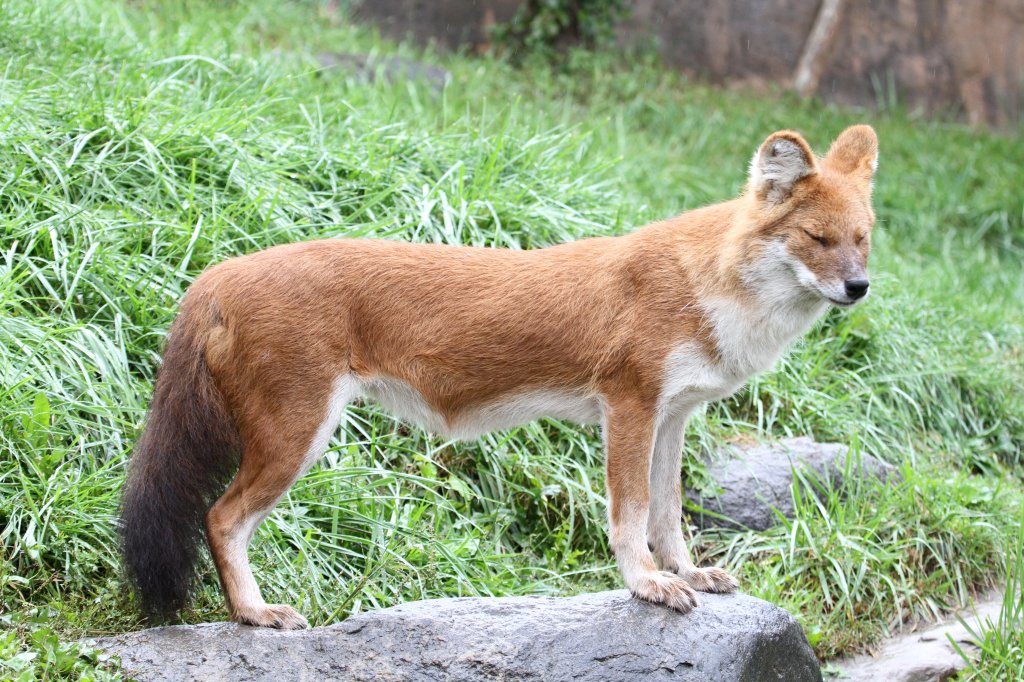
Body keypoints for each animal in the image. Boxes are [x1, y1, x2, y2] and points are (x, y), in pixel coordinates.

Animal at [117, 123, 872, 626]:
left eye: (863, 239)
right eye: (817, 239)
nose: (859, 287)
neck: (705, 284)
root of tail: (216, 274)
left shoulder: (674, 416)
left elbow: (668, 513)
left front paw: (687, 572)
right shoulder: (628, 405)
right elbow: (629, 513)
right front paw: (647, 585)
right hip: (295, 434)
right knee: (221, 518)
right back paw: (254, 614)